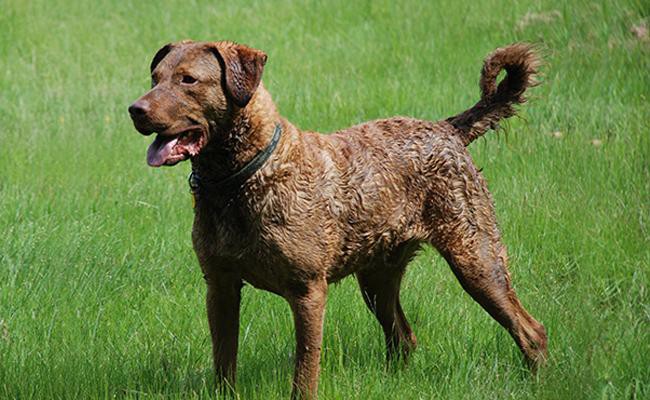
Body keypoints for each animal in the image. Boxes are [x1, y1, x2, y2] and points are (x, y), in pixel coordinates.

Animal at [128, 39, 548, 396]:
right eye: (155, 77)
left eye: (188, 80)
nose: (135, 110)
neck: (241, 180)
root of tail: (447, 129)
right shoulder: (220, 286)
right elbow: (223, 362)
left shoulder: (308, 291)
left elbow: (304, 370)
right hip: (377, 277)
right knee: (403, 337)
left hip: (476, 257)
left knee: (531, 331)